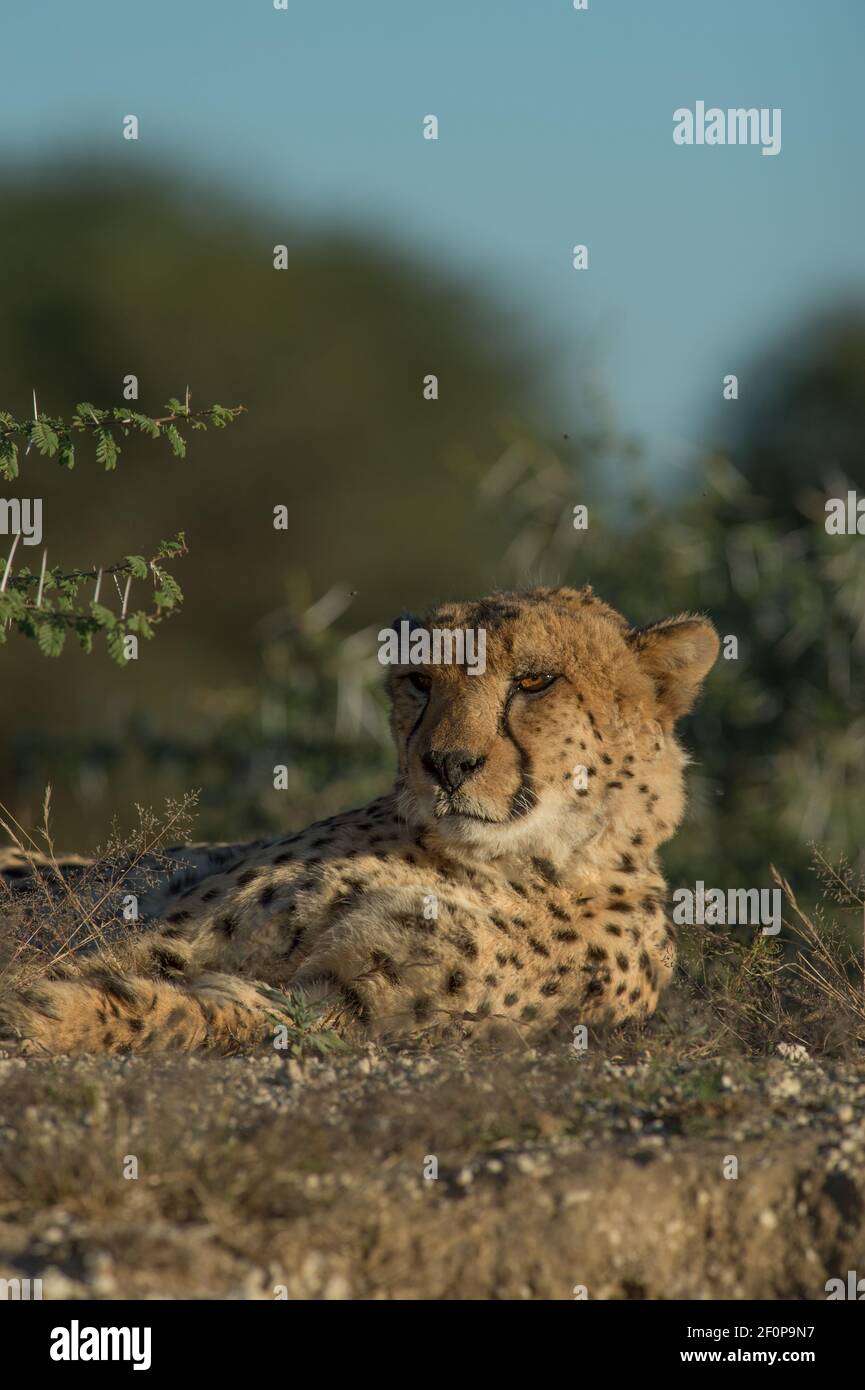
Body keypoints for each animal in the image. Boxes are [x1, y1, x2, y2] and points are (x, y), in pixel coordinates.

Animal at [0, 584, 719, 1056]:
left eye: (536, 681)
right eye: (420, 681)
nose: (447, 764)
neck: (516, 861)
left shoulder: (359, 1008)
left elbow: (214, 1015)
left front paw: (53, 1012)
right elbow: (111, 952)